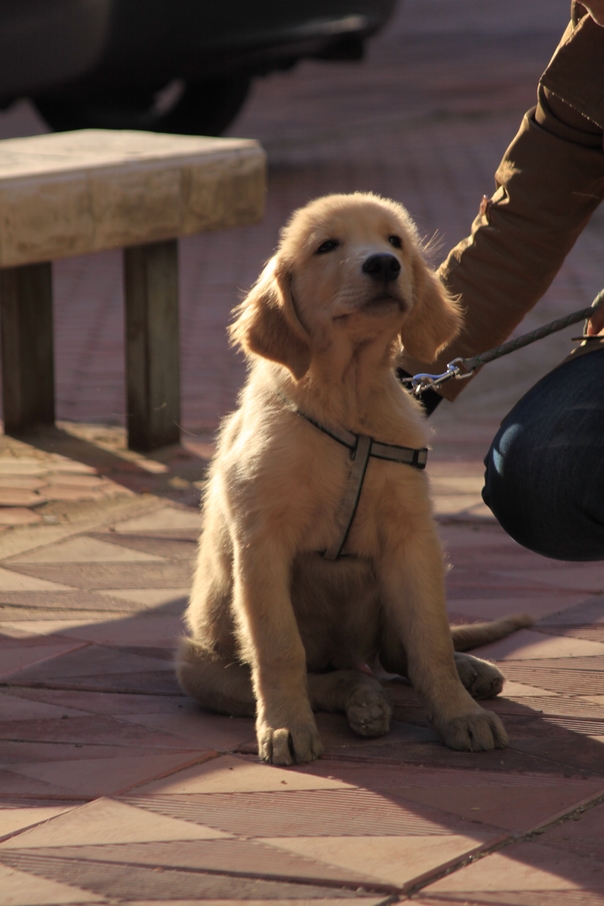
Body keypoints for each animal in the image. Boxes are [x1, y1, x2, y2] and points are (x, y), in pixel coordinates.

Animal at [176, 192, 532, 764]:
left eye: (395, 241)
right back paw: (362, 698)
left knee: (399, 651)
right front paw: (286, 726)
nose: (383, 265)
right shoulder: (261, 543)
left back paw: (467, 674)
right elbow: (280, 648)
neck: (347, 400)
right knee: (331, 674)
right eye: (326, 247)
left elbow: (430, 639)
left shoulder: (412, 539)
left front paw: (459, 714)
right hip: (199, 664)